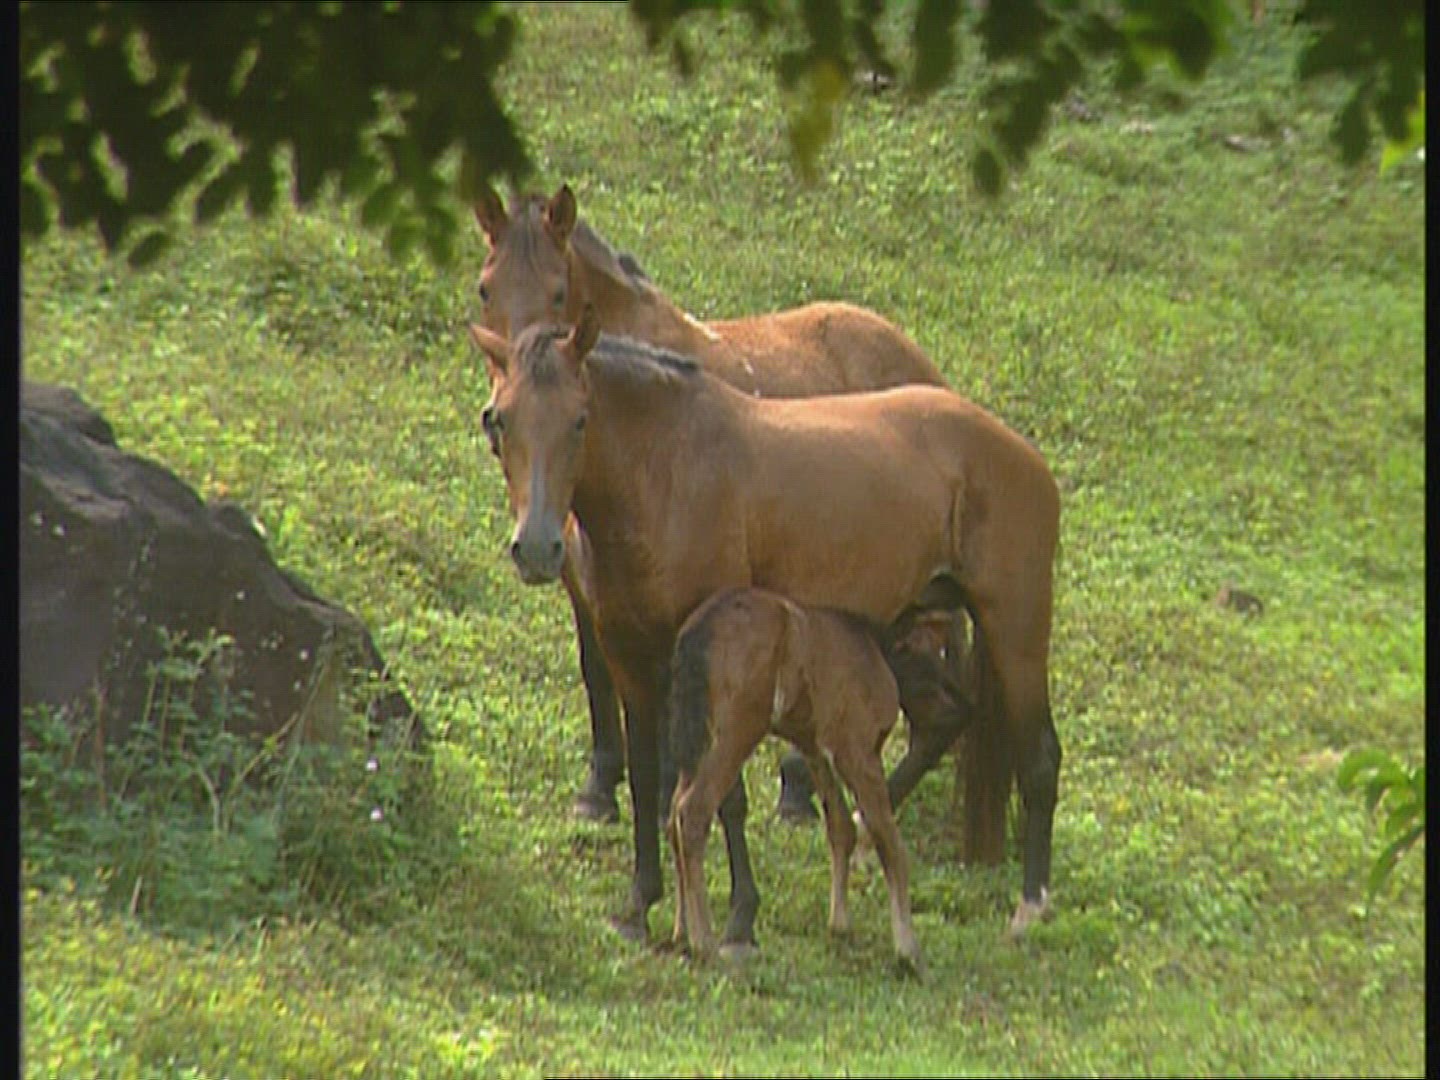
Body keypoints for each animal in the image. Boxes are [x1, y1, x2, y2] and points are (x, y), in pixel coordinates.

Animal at [472, 182, 958, 825]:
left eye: (558, 290)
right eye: (485, 287)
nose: (496, 415)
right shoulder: (581, 573)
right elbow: (596, 674)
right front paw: (599, 788)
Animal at [667, 587, 926, 976]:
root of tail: (698, 629)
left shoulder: (815, 748)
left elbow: (840, 826)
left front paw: (840, 927)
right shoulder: (858, 753)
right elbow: (890, 843)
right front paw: (907, 951)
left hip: (698, 740)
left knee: (672, 817)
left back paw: (682, 933)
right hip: (738, 731)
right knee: (693, 811)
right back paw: (705, 944)